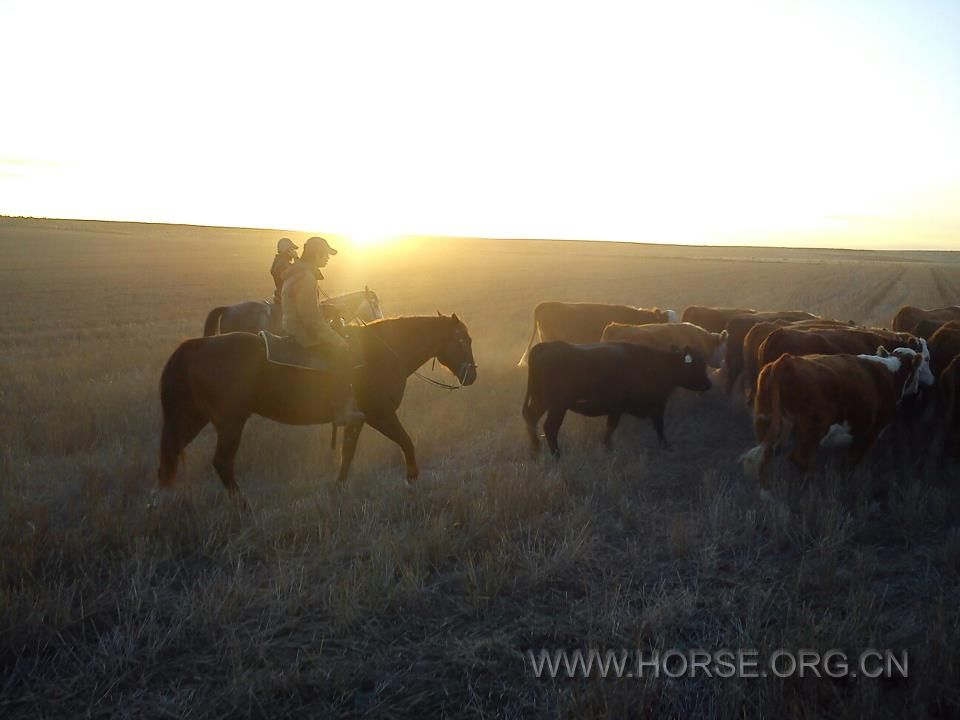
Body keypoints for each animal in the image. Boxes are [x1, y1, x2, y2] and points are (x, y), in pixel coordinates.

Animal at [158, 312, 480, 504]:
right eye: (463, 339)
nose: (472, 375)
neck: (383, 352)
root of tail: (197, 346)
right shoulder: (380, 414)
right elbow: (406, 441)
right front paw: (412, 479)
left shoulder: (359, 419)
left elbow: (348, 453)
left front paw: (339, 488)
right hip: (230, 422)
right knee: (222, 462)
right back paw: (243, 507)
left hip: (195, 417)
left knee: (172, 455)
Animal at [520, 340, 708, 452]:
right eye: (697, 365)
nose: (709, 384)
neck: (658, 364)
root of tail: (544, 346)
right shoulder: (650, 407)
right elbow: (657, 427)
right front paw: (666, 446)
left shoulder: (620, 409)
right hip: (557, 407)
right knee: (549, 428)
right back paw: (556, 455)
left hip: (541, 402)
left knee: (531, 420)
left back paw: (536, 451)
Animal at [740, 348, 928, 484]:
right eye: (919, 369)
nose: (917, 389)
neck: (891, 373)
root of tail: (786, 361)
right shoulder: (869, 433)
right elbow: (853, 462)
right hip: (812, 432)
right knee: (801, 459)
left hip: (766, 422)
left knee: (765, 457)